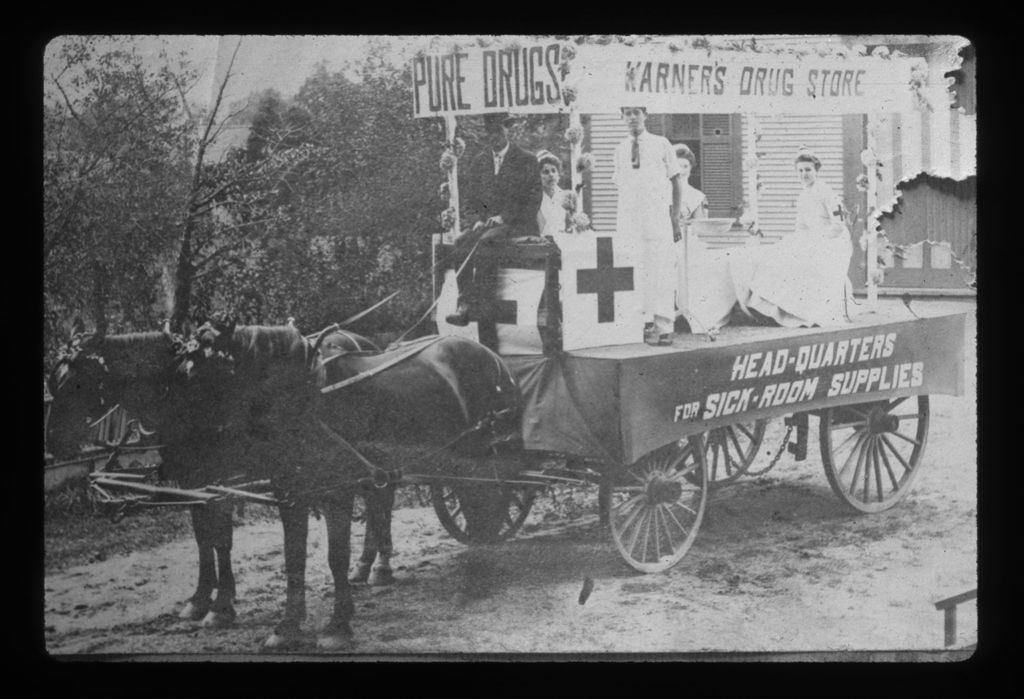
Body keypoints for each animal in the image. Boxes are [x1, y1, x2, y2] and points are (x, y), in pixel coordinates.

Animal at [48, 323, 516, 650]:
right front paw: (243, 613)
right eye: (54, 380)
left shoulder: (319, 488)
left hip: (479, 456)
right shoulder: (250, 486)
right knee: (388, 502)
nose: (55, 444)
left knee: (485, 505)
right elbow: (256, 549)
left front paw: (332, 625)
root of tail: (488, 355)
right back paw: (374, 568)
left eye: (77, 381)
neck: (302, 402)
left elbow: (319, 553)